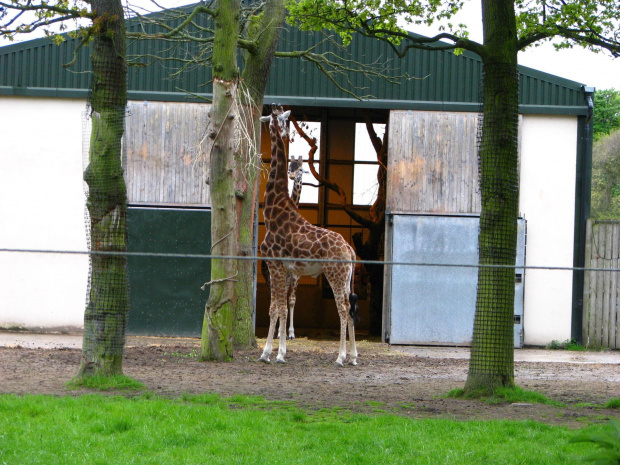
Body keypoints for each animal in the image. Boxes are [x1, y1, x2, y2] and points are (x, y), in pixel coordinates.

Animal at [260, 154, 306, 338]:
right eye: (289, 168)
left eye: (300, 168)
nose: (292, 176)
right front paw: (282, 332)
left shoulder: (296, 273)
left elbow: (291, 300)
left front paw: (290, 332)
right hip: (270, 274)